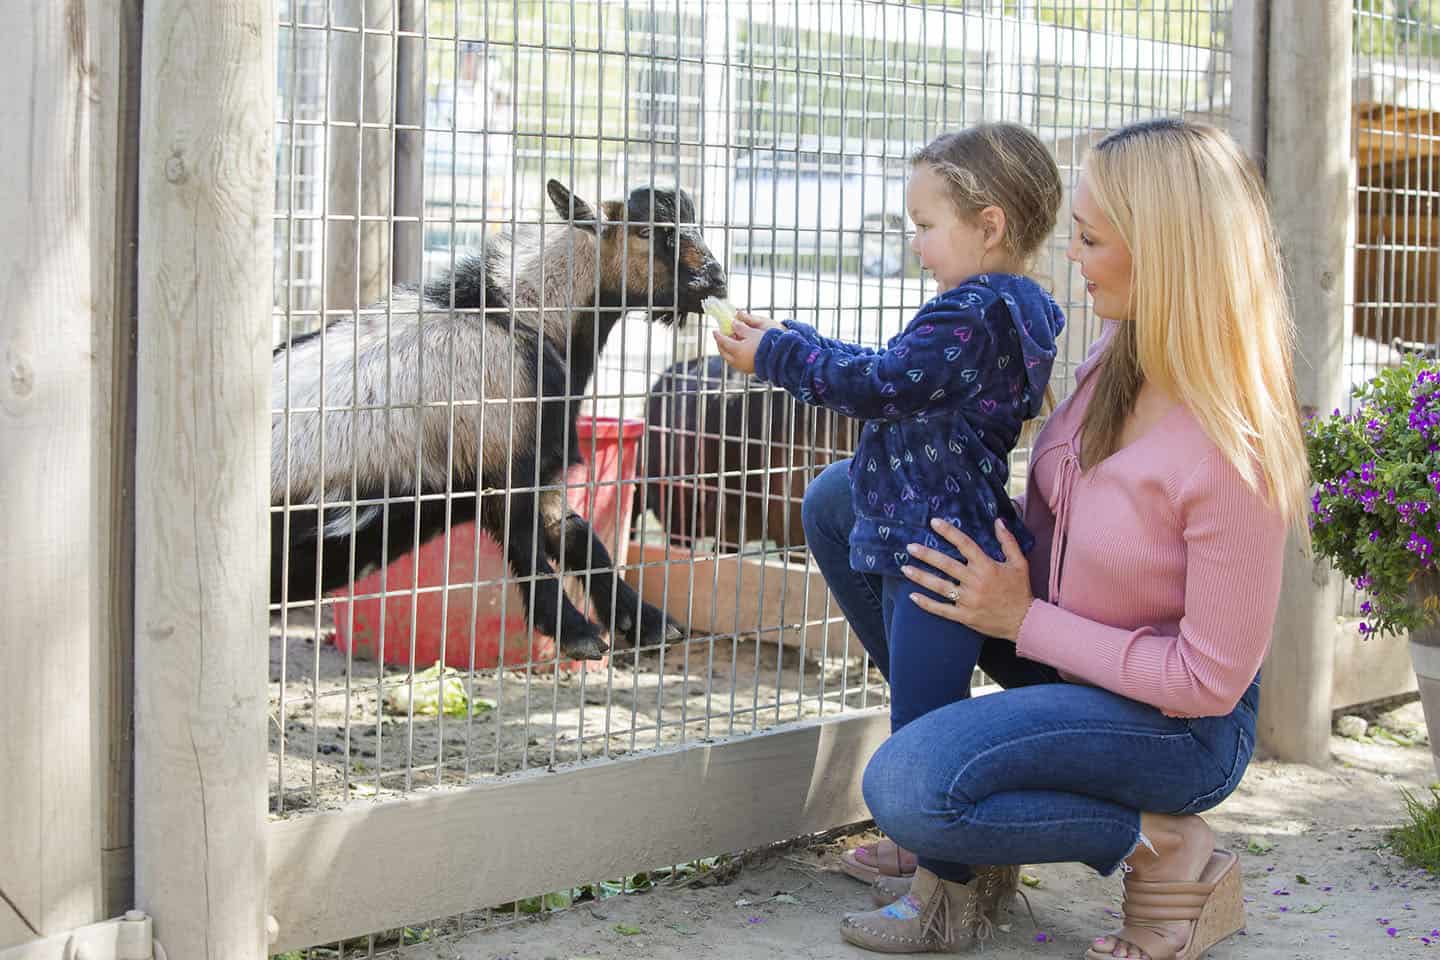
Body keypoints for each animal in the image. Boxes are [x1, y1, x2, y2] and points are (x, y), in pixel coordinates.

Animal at [269, 178, 725, 662]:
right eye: (646, 232)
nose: (716, 279)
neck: (522, 318)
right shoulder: (507, 466)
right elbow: (528, 549)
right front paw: (576, 633)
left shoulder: (542, 471)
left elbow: (578, 536)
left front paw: (648, 622)